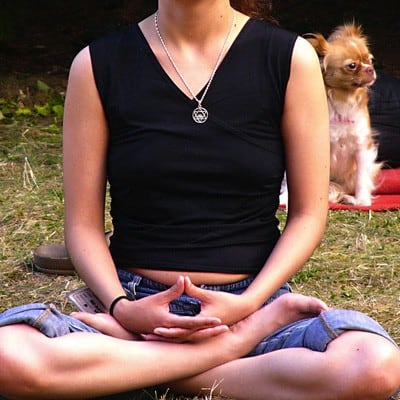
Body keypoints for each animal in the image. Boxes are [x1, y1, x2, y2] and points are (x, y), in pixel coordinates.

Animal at [306, 24, 382, 206]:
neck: (344, 98)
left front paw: (362, 201)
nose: (370, 68)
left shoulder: (362, 147)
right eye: (352, 66)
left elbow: (361, 177)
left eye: (370, 60)